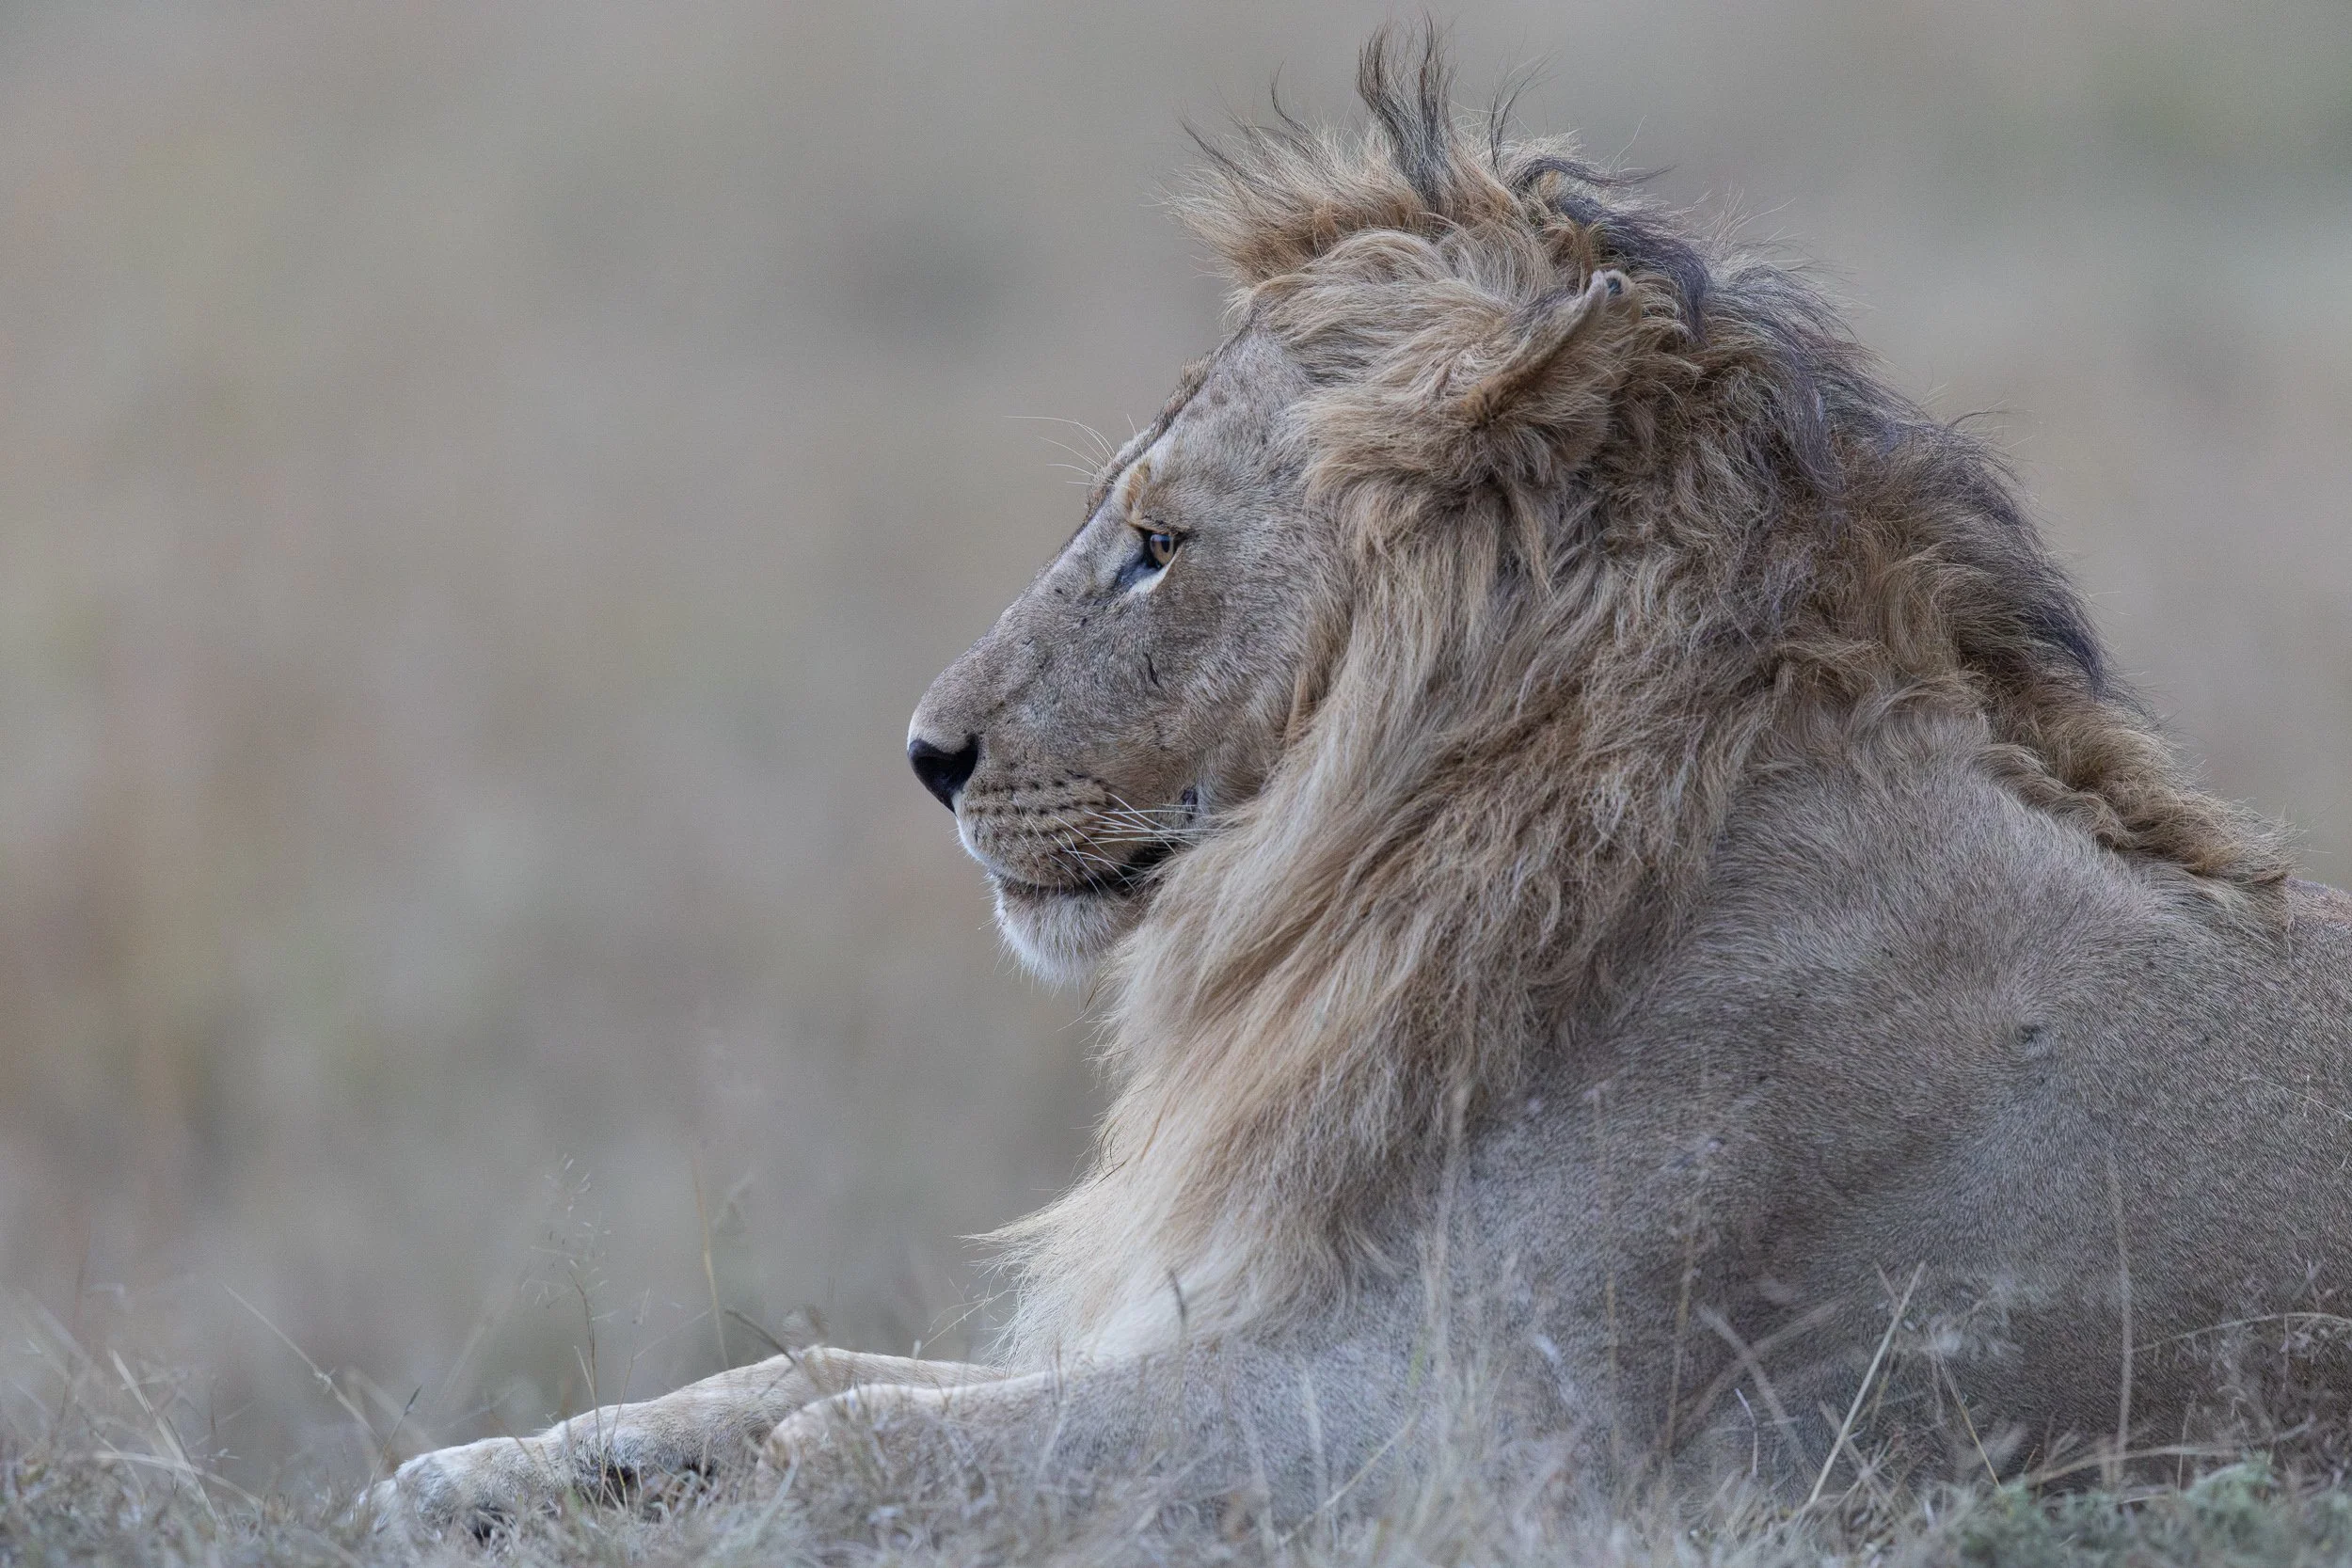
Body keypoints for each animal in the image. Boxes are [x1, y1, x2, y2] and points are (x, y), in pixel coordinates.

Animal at [377, 32, 2352, 1539]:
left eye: (1157, 543)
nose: (927, 757)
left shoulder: (1480, 1424)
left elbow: (862, 1440)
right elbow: (805, 1366)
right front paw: (476, 1471)